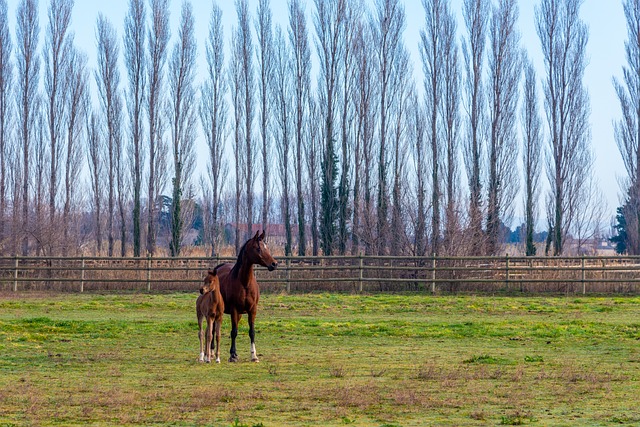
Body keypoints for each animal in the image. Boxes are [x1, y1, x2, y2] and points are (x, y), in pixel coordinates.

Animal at [215, 232, 278, 362]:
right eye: (258, 248)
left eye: (266, 247)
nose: (274, 264)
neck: (244, 283)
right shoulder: (234, 310)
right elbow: (234, 331)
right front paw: (232, 356)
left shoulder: (252, 310)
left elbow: (251, 332)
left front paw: (254, 356)